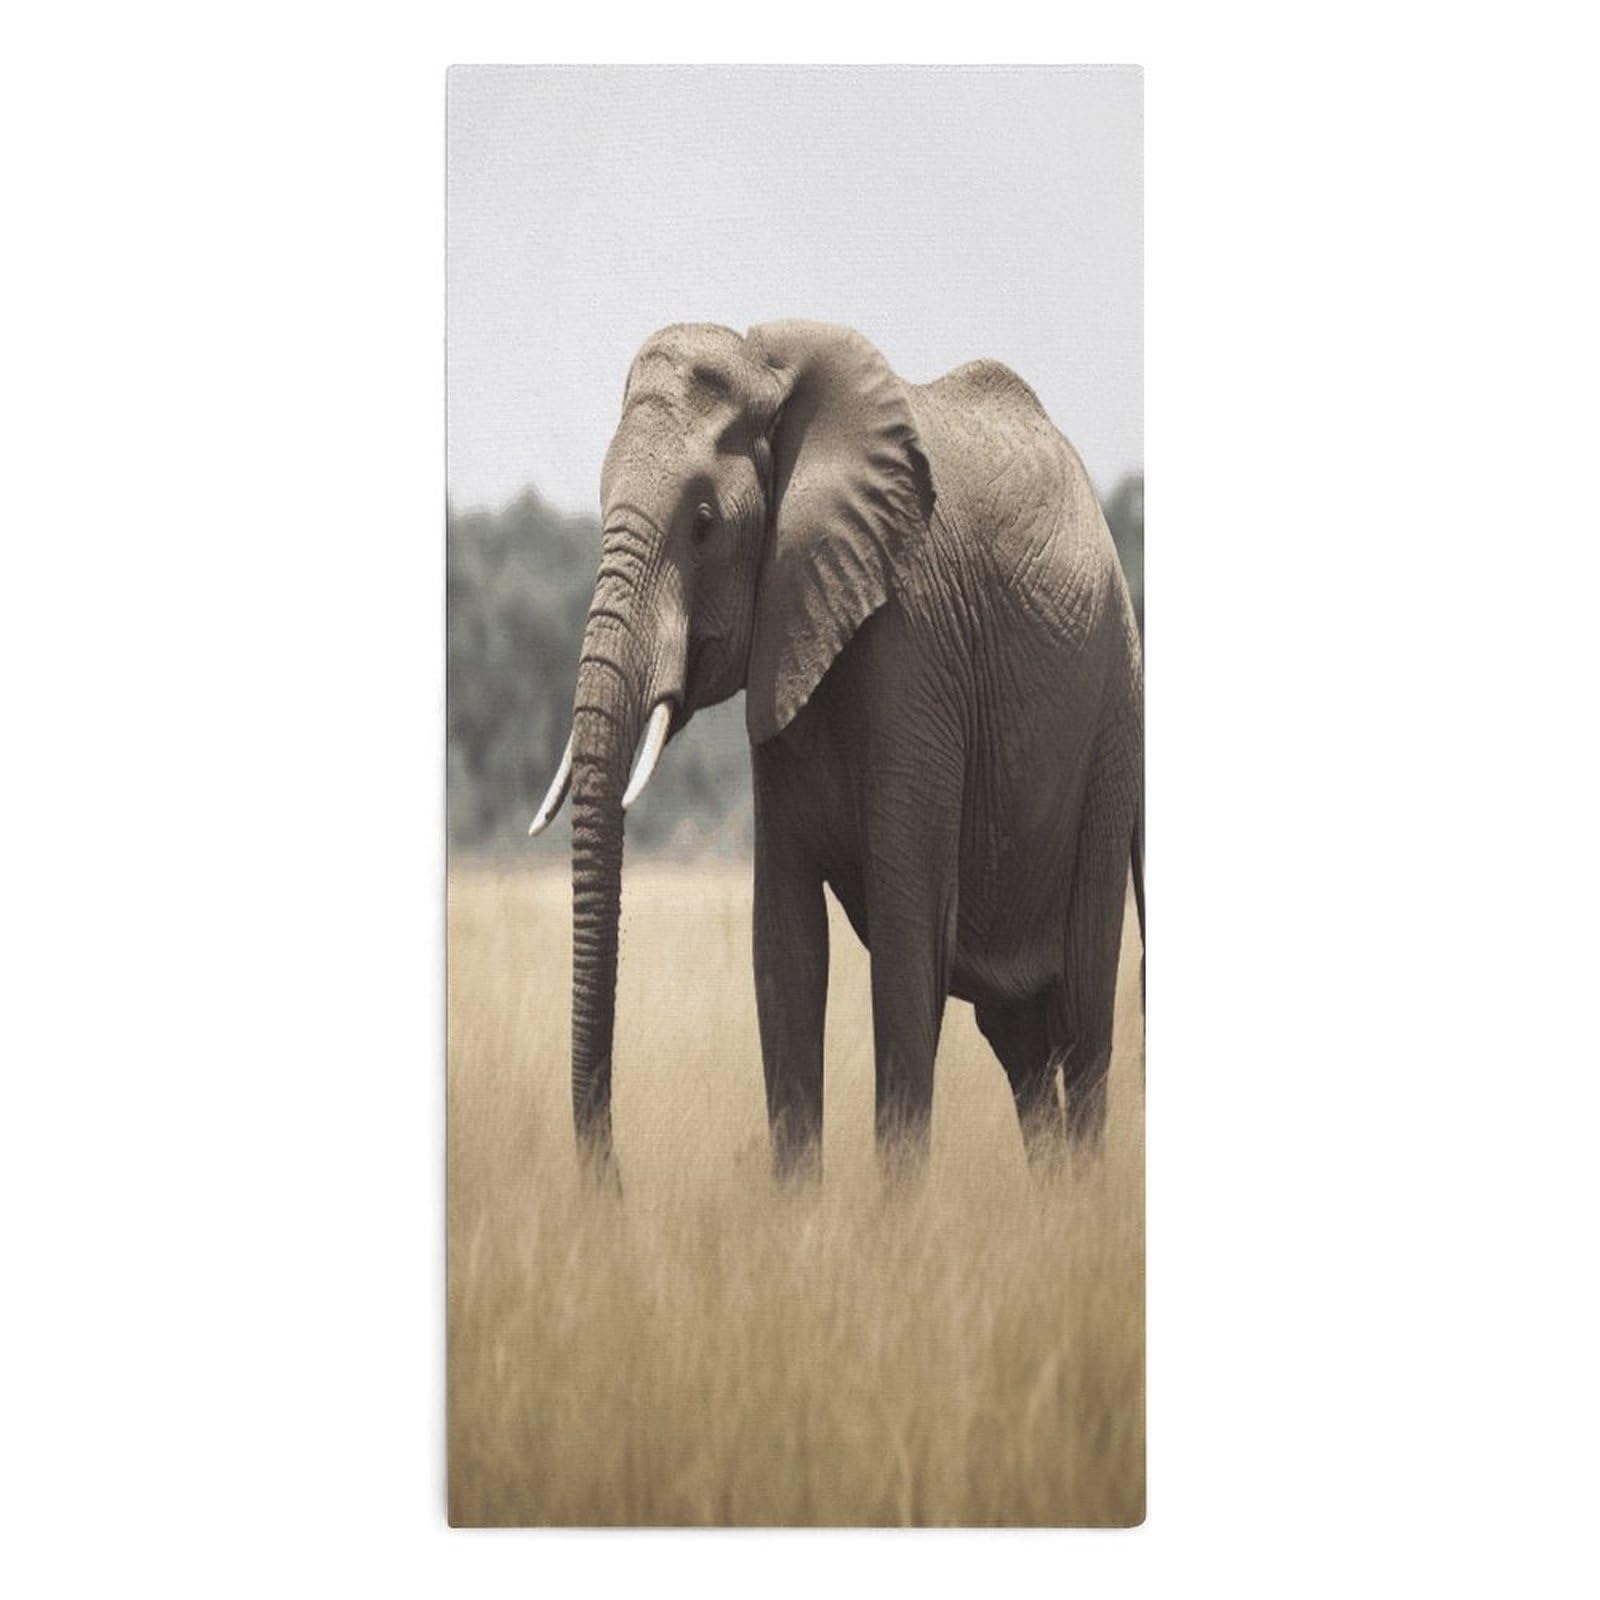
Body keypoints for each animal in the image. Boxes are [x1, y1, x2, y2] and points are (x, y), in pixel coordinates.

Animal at [529, 320, 1143, 1183]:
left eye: (705, 522)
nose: (613, 1191)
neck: (770, 370)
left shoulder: (917, 645)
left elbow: (908, 939)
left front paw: (896, 1217)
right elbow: (785, 948)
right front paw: (800, 1214)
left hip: (1113, 717)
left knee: (1083, 1016)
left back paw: (1082, 1202)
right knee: (1021, 1041)